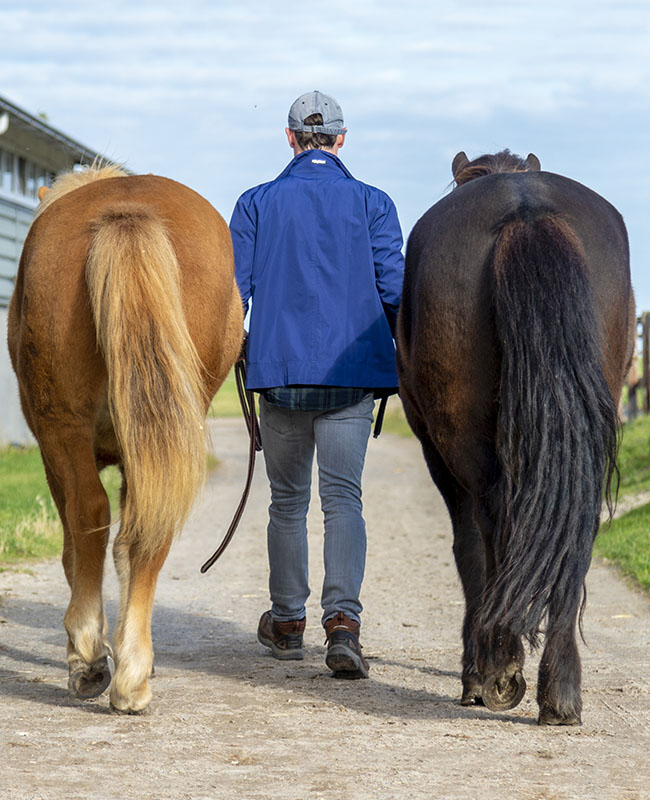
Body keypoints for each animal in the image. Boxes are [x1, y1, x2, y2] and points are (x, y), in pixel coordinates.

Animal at [8, 167, 242, 712]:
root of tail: (126, 211)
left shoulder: (53, 456)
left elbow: (75, 550)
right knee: (146, 528)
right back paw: (134, 672)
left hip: (64, 427)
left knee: (90, 513)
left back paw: (91, 657)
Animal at [394, 148, 632, 724]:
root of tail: (526, 211)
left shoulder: (435, 451)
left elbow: (467, 547)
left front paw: (477, 671)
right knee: (575, 527)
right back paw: (559, 688)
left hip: (463, 445)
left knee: (493, 524)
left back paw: (498, 667)